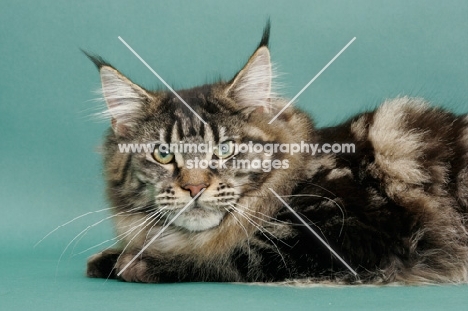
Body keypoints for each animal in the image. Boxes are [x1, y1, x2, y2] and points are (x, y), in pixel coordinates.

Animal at [85, 22, 468, 286]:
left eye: (225, 149)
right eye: (164, 155)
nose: (194, 188)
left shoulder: (350, 232)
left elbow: (231, 256)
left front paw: (140, 262)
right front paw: (110, 258)